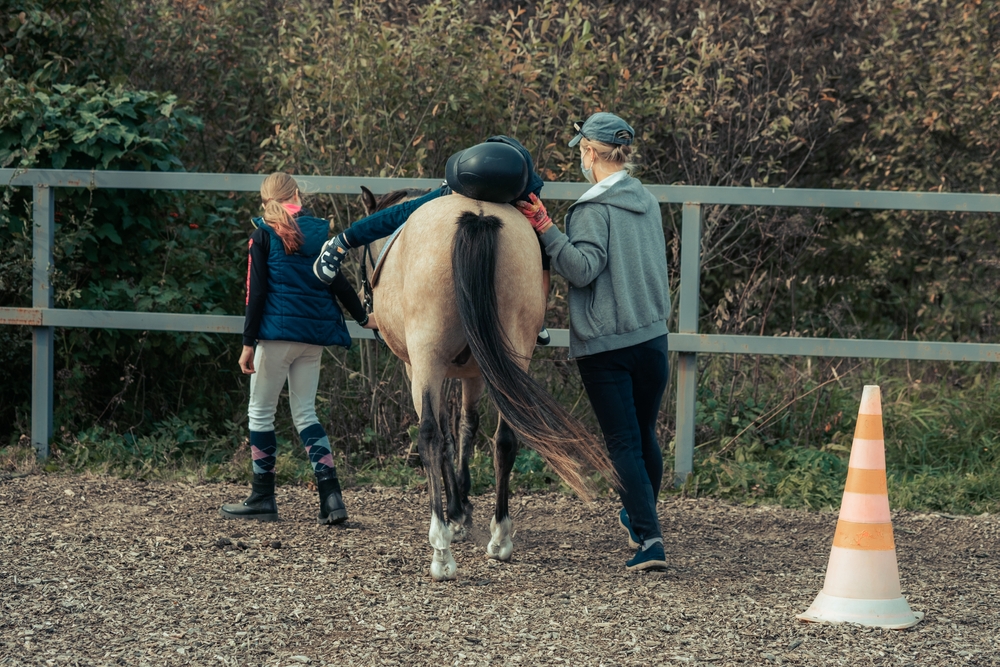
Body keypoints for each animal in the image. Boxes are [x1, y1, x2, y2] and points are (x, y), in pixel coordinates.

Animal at [356, 187, 612, 580]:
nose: (364, 307)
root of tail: (475, 216)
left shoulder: (418, 369)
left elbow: (444, 434)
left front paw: (455, 513)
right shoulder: (475, 372)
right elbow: (467, 427)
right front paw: (463, 509)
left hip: (428, 357)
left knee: (430, 435)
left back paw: (441, 550)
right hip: (510, 354)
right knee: (505, 439)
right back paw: (500, 537)